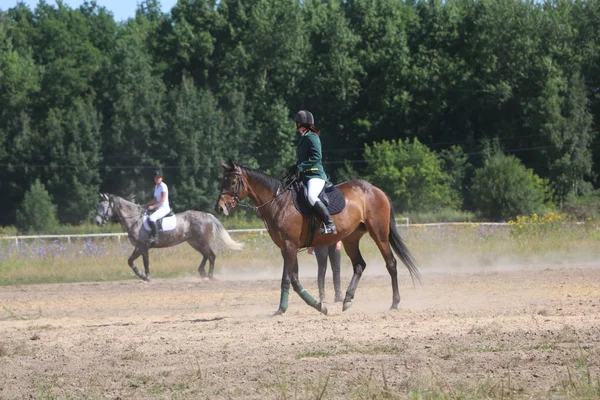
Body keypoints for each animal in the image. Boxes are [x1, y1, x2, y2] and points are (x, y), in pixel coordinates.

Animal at [94, 193, 244, 282]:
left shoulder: (142, 246)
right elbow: (137, 262)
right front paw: (144, 276)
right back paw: (202, 273)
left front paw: (144, 276)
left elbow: (137, 262)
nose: (97, 222)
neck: (135, 219)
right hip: (194, 242)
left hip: (202, 241)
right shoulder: (142, 247)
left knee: (211, 256)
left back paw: (210, 276)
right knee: (206, 255)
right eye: (98, 206)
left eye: (103, 207)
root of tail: (207, 215)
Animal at [217, 160, 422, 316]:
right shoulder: (287, 248)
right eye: (222, 181)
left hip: (379, 235)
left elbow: (286, 278)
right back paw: (347, 300)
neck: (279, 203)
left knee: (391, 263)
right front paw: (319, 306)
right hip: (350, 239)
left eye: (233, 182)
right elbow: (295, 280)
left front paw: (281, 309)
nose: (219, 207)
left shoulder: (289, 246)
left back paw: (395, 303)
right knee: (359, 265)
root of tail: (375, 189)